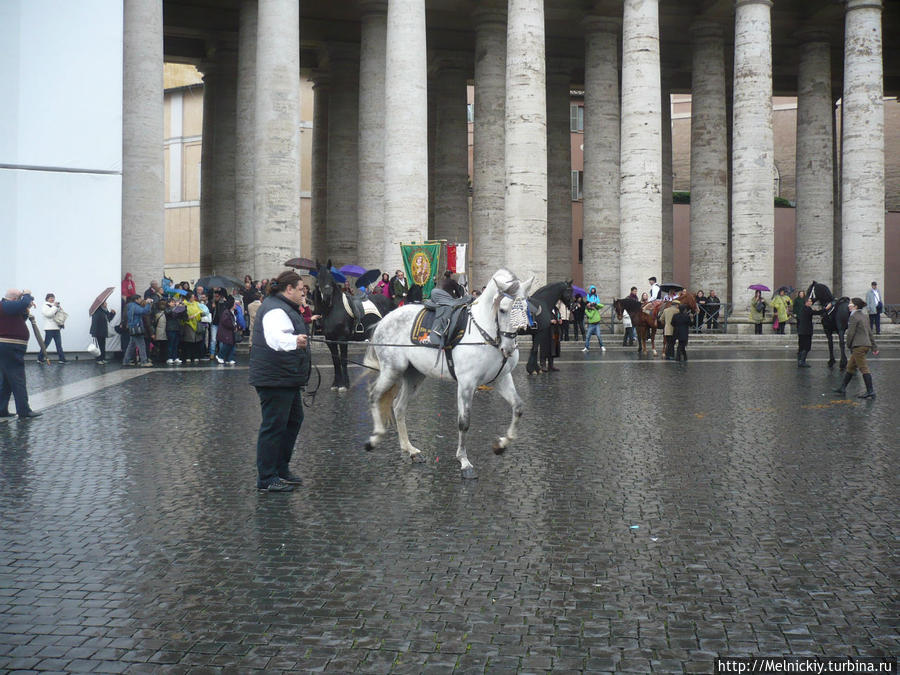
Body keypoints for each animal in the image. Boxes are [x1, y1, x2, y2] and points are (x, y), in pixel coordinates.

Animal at [312, 262, 390, 394]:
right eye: (318, 278)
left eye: (331, 278)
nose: (327, 297)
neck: (332, 310)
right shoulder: (329, 340)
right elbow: (335, 361)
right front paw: (336, 384)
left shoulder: (342, 339)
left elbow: (343, 360)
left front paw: (345, 385)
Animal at [364, 270, 536, 480]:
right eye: (503, 309)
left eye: (526, 308)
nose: (509, 349)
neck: (485, 333)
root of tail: (384, 319)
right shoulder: (466, 384)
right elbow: (464, 422)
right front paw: (464, 462)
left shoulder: (501, 379)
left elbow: (518, 407)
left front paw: (501, 445)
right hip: (392, 369)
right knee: (374, 395)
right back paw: (375, 438)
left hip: (414, 375)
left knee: (398, 407)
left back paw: (411, 450)